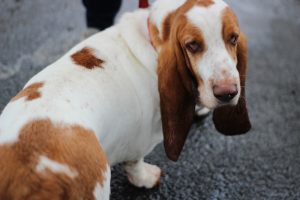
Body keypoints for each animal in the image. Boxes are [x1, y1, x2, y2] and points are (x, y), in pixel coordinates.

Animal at [0, 0, 251, 198]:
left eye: (233, 38)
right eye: (192, 45)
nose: (227, 93)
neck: (154, 38)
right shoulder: (140, 140)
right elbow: (135, 162)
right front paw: (146, 178)